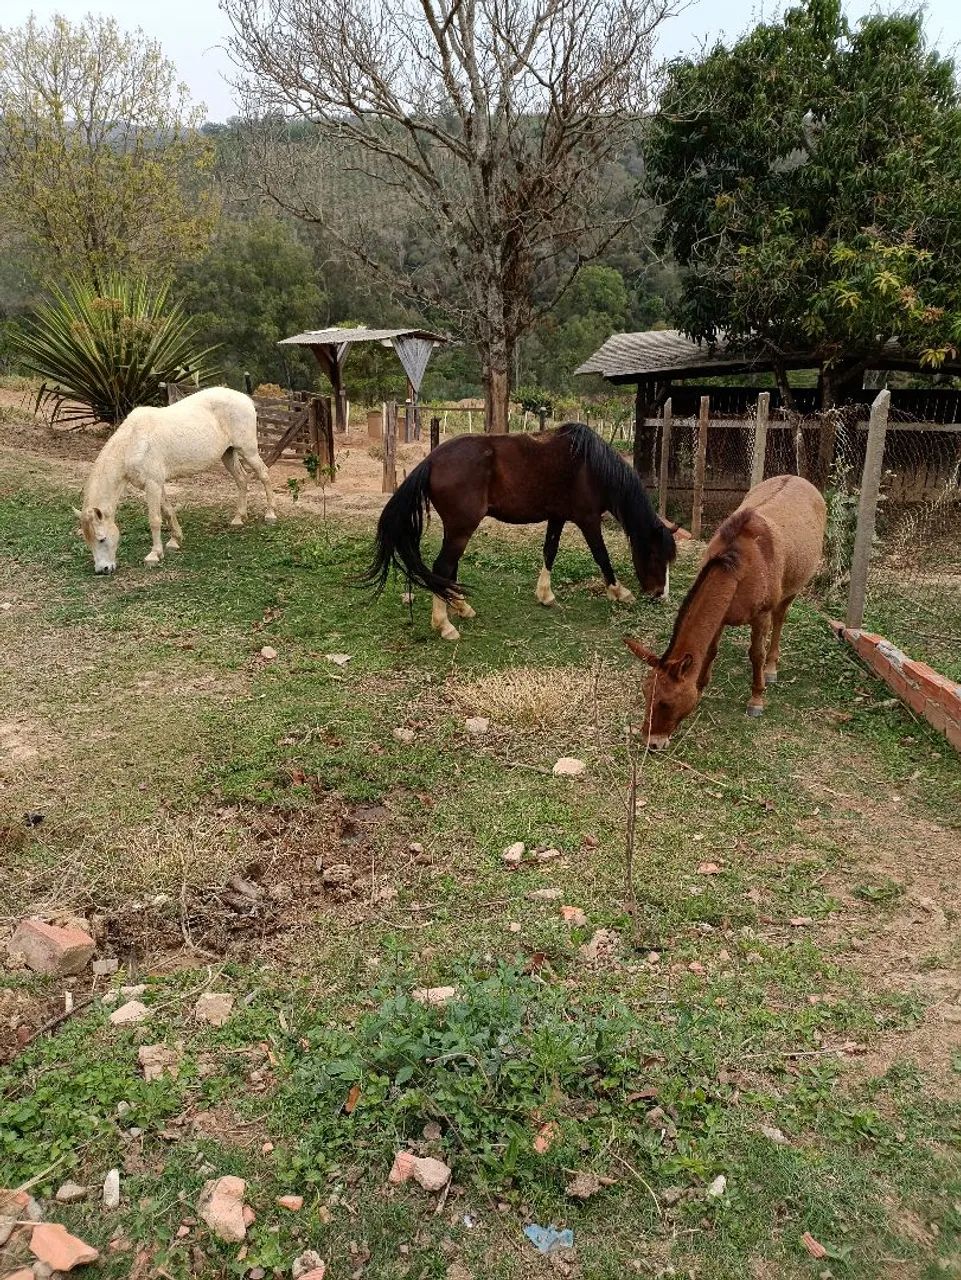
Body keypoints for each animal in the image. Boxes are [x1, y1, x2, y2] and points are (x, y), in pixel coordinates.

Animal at [75, 387, 277, 574]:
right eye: (88, 540)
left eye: (102, 538)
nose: (103, 569)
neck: (133, 441)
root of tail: (245, 398)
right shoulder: (157, 484)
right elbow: (168, 511)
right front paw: (175, 540)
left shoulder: (152, 484)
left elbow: (155, 519)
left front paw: (154, 555)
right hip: (228, 453)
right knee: (242, 479)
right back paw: (238, 518)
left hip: (248, 451)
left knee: (264, 475)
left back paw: (270, 514)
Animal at [364, 423, 684, 640]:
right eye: (656, 557)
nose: (661, 595)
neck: (591, 467)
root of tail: (431, 460)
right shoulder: (588, 520)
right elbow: (601, 555)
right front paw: (619, 592)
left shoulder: (557, 517)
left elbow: (550, 551)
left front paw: (545, 595)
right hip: (461, 527)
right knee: (442, 567)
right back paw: (445, 625)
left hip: (456, 528)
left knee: (447, 569)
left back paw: (462, 608)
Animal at [625, 475, 826, 748]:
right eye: (646, 692)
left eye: (666, 703)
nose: (652, 743)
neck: (737, 567)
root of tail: (800, 480)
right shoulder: (721, 616)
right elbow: (710, 652)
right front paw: (701, 687)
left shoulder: (760, 615)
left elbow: (756, 654)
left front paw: (756, 698)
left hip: (793, 587)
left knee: (780, 618)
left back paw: (771, 668)